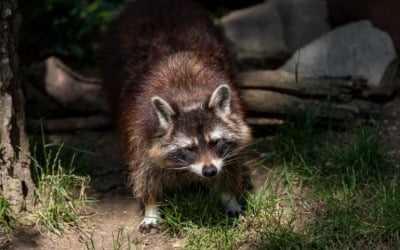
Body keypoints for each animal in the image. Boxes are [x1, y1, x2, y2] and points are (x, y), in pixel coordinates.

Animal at [101, 0, 250, 232]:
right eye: (189, 148)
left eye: (215, 142)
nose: (209, 171)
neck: (187, 97)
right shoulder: (140, 129)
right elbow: (144, 170)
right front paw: (151, 206)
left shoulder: (235, 120)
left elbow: (231, 164)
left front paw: (228, 195)